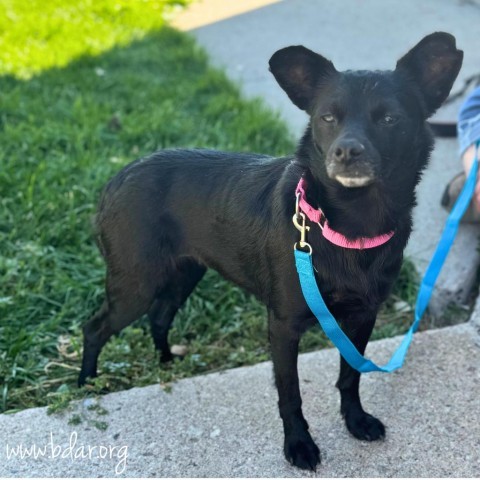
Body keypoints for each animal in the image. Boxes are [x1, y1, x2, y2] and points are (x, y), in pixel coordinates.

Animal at [79, 32, 462, 468]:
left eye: (389, 119)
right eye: (327, 118)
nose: (347, 152)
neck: (347, 223)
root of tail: (118, 177)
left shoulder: (364, 315)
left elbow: (351, 374)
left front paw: (355, 420)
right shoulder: (282, 326)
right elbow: (290, 394)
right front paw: (298, 444)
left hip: (183, 274)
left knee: (159, 318)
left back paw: (165, 361)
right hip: (136, 284)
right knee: (95, 328)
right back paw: (87, 384)